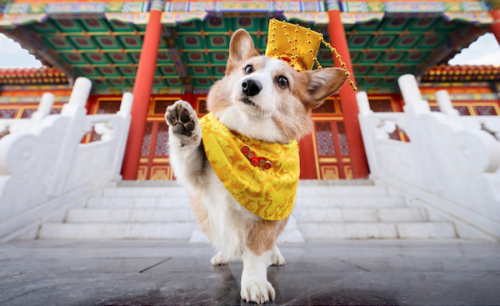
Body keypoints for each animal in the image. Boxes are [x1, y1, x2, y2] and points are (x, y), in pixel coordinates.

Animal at [166, 29, 346, 304]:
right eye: (248, 69)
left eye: (282, 81)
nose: (249, 85)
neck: (248, 137)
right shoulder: (196, 176)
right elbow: (188, 152)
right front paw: (186, 125)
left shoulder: (268, 217)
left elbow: (256, 254)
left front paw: (254, 284)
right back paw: (223, 255)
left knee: (270, 245)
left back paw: (275, 256)